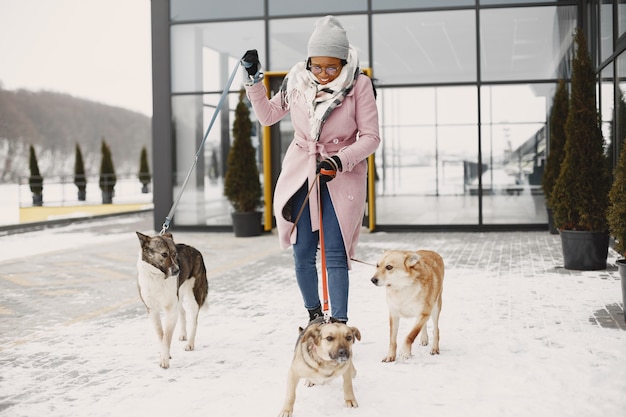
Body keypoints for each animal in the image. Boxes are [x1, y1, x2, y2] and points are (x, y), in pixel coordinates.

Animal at [135, 231, 208, 368]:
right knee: (183, 312)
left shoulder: (170, 310)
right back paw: (183, 334)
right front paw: (165, 354)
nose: (177, 271)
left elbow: (167, 336)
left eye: (175, 254)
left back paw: (190, 343)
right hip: (178, 296)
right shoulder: (152, 310)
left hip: (193, 296)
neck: (157, 277)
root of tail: (195, 250)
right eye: (164, 254)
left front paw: (164, 359)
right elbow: (161, 334)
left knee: (194, 320)